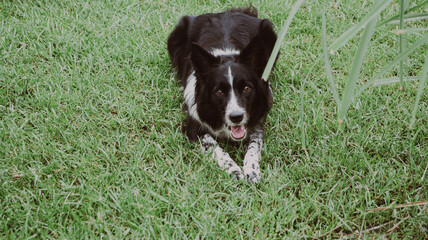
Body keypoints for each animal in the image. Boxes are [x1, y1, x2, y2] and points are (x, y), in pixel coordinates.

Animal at [167, 7, 278, 184]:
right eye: (219, 92)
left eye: (247, 88)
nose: (236, 117)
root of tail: (226, 12)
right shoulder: (193, 127)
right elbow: (214, 146)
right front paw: (233, 169)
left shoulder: (256, 124)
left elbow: (253, 148)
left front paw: (252, 170)